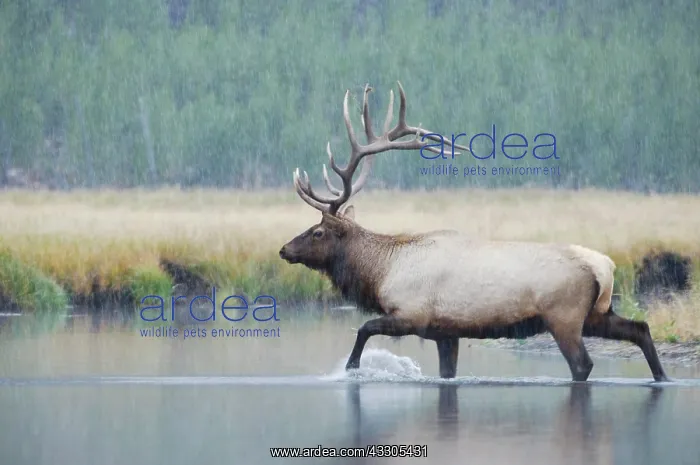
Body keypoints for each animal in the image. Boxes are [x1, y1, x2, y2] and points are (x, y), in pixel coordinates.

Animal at [278, 81, 670, 383]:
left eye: (318, 231)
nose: (284, 250)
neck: (381, 272)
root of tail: (605, 267)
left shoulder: (411, 314)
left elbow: (363, 329)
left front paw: (350, 368)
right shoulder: (445, 332)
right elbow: (446, 373)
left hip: (564, 315)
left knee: (583, 363)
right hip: (596, 314)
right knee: (640, 328)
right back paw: (662, 378)